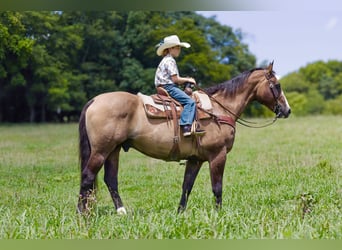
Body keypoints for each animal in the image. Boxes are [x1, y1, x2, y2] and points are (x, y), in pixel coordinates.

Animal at [77, 62, 292, 215]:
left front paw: (180, 213)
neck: (218, 109)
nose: (287, 110)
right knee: (88, 176)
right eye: (277, 85)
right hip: (101, 150)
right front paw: (219, 214)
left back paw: (121, 212)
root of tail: (94, 100)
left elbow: (187, 186)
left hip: (113, 149)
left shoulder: (195, 159)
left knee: (110, 179)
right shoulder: (218, 155)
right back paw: (82, 213)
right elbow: (217, 187)